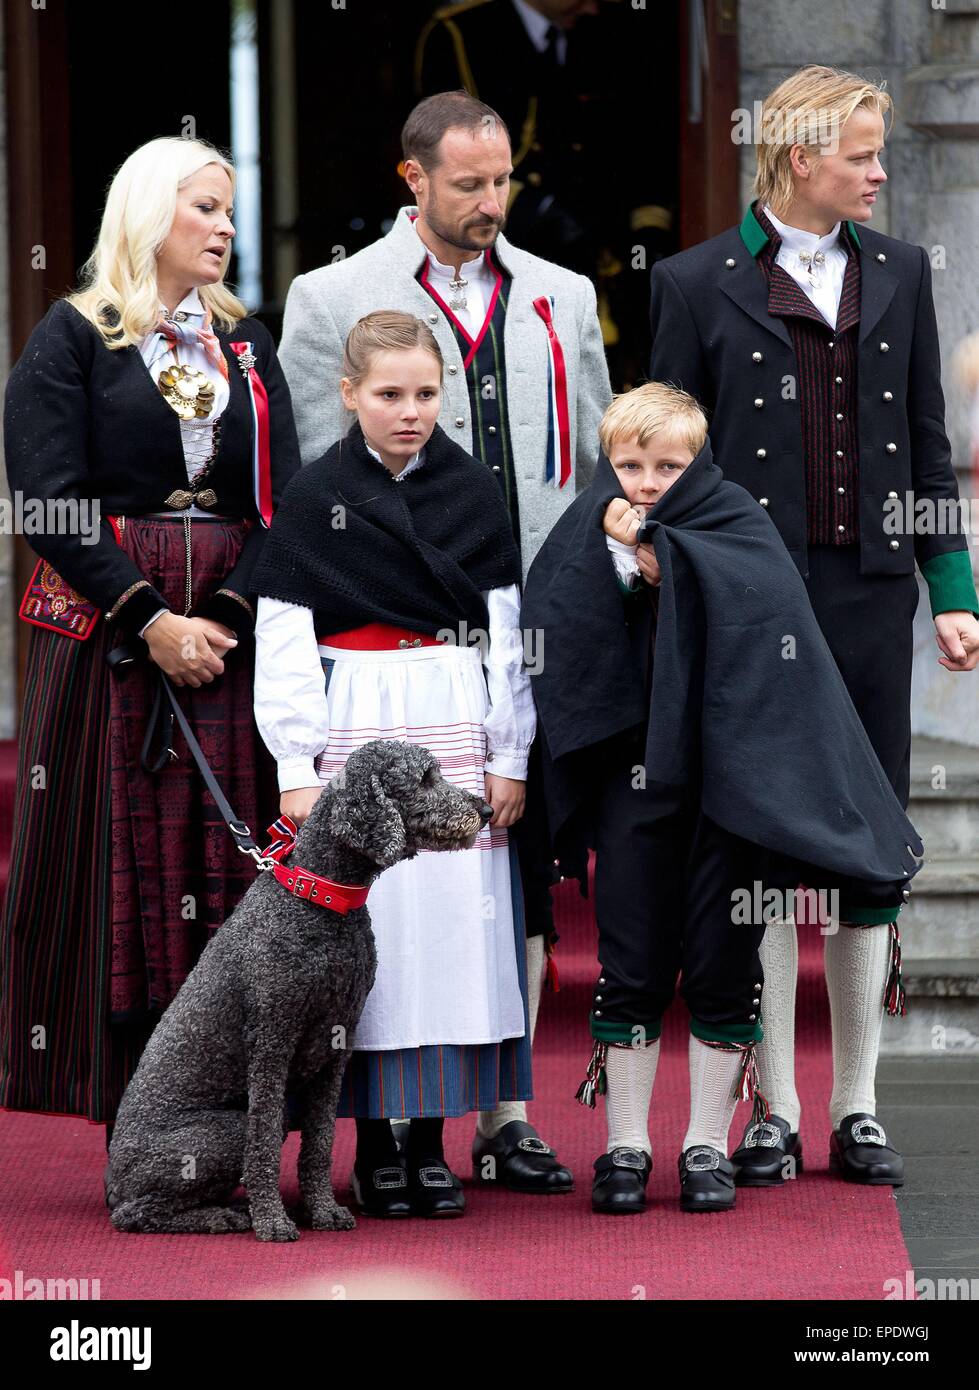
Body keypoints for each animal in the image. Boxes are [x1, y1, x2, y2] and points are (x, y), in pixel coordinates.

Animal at [104, 745, 492, 1245]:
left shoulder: (337, 1044)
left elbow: (320, 1142)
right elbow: (265, 1141)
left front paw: (322, 1210)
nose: (485, 810)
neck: (318, 900)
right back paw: (225, 1216)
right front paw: (272, 1220)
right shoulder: (273, 1041)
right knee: (135, 1213)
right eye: (425, 779)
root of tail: (113, 1178)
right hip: (221, 1131)